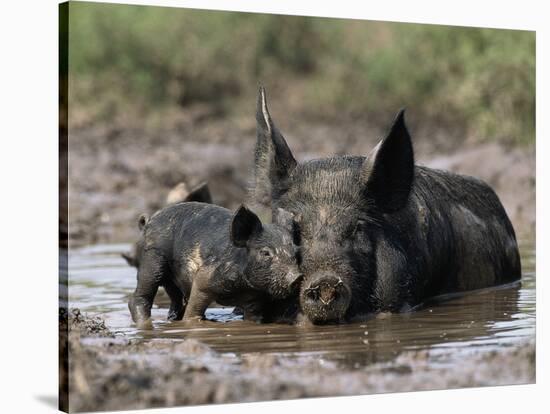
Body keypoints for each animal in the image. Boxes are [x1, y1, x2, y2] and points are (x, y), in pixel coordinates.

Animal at [128, 202, 304, 326]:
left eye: (296, 252)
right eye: (265, 252)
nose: (297, 277)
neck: (241, 288)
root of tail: (148, 222)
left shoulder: (255, 299)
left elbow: (252, 318)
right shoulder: (204, 278)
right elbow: (193, 309)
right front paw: (193, 323)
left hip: (173, 280)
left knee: (176, 300)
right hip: (152, 257)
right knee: (140, 296)